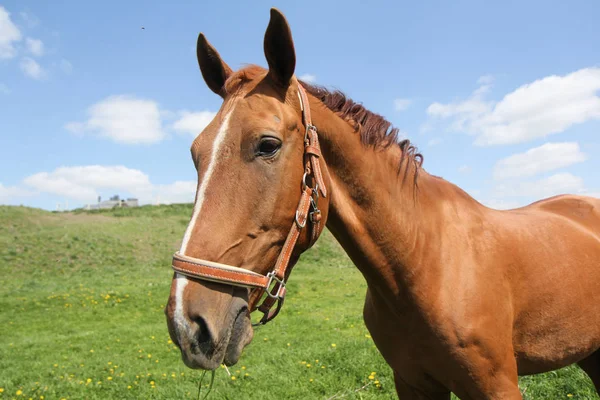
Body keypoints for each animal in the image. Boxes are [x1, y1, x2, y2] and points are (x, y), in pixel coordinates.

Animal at [164, 7, 600, 398]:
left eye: (267, 144)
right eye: (195, 153)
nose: (188, 325)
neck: (423, 260)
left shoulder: (497, 387)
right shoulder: (413, 383)